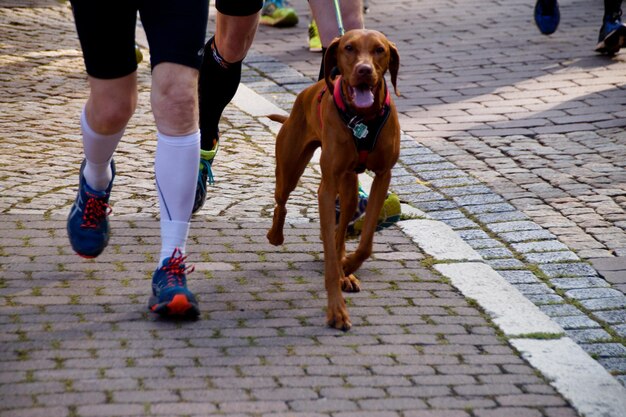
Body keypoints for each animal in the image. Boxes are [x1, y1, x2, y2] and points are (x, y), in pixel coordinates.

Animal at [266, 27, 398, 330]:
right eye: (349, 48)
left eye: (379, 50)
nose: (364, 70)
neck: (363, 118)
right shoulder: (326, 190)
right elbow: (328, 251)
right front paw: (337, 310)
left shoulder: (383, 176)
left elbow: (366, 242)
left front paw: (347, 267)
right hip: (290, 169)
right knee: (281, 202)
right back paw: (276, 235)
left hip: (348, 189)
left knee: (341, 232)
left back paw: (345, 270)